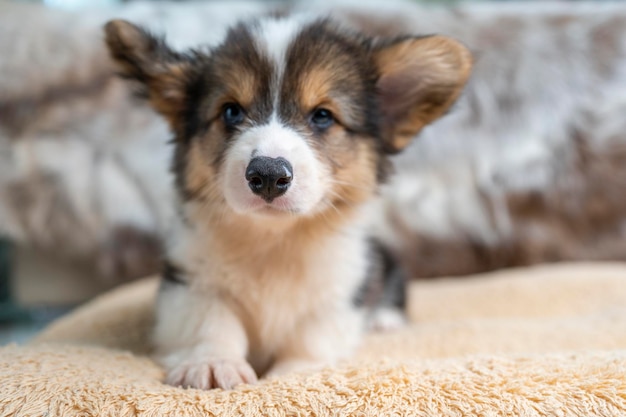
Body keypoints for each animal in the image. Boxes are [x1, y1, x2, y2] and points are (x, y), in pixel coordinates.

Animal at [106, 13, 468, 390]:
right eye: (231, 111)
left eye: (322, 115)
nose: (267, 175)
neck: (274, 240)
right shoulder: (189, 281)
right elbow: (212, 321)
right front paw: (211, 363)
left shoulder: (340, 292)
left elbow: (310, 339)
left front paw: (293, 375)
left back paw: (385, 319)